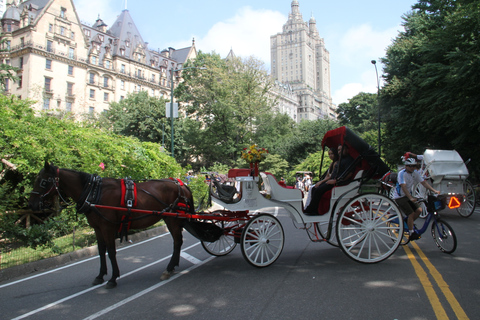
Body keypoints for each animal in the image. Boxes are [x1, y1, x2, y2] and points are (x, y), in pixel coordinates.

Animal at [29, 161, 194, 288]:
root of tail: (182, 184)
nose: (32, 204)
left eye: (43, 181)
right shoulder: (97, 228)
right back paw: (172, 267)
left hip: (172, 219)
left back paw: (169, 267)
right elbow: (101, 251)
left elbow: (111, 251)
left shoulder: (107, 227)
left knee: (177, 241)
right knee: (177, 241)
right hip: (170, 218)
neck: (94, 193)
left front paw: (113, 278)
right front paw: (100, 275)